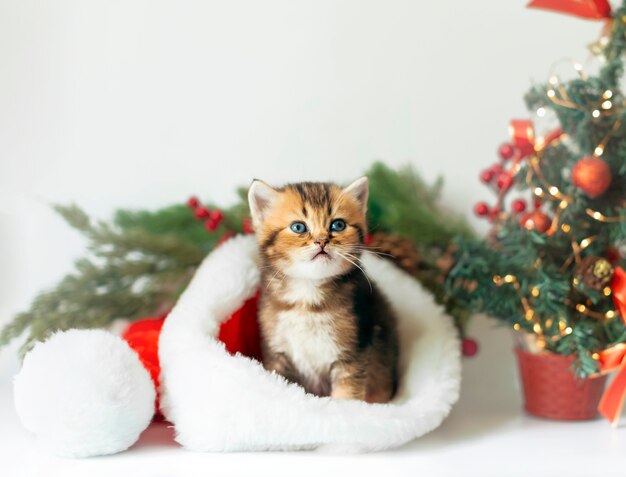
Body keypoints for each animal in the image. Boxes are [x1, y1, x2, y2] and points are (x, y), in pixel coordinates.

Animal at [247, 178, 398, 402]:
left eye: (338, 225)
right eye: (298, 227)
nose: (322, 241)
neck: (308, 297)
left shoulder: (352, 355)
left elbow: (346, 397)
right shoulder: (277, 352)